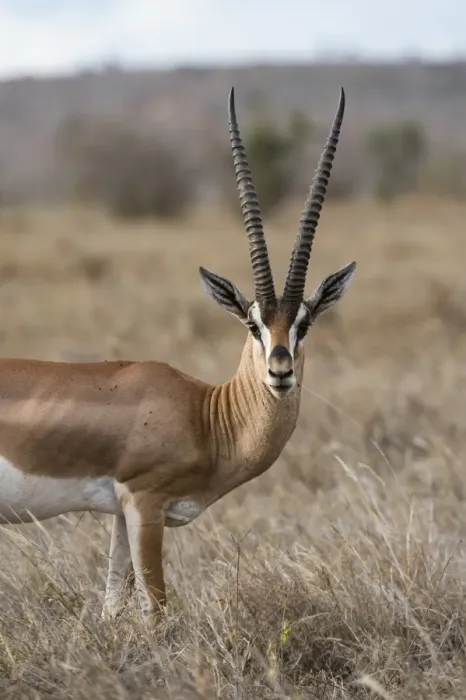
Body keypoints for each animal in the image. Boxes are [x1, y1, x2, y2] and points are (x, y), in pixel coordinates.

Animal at [0, 87, 356, 622]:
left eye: (305, 322)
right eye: (252, 323)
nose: (280, 370)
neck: (205, 415)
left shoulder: (120, 514)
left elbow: (112, 605)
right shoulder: (145, 504)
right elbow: (158, 611)